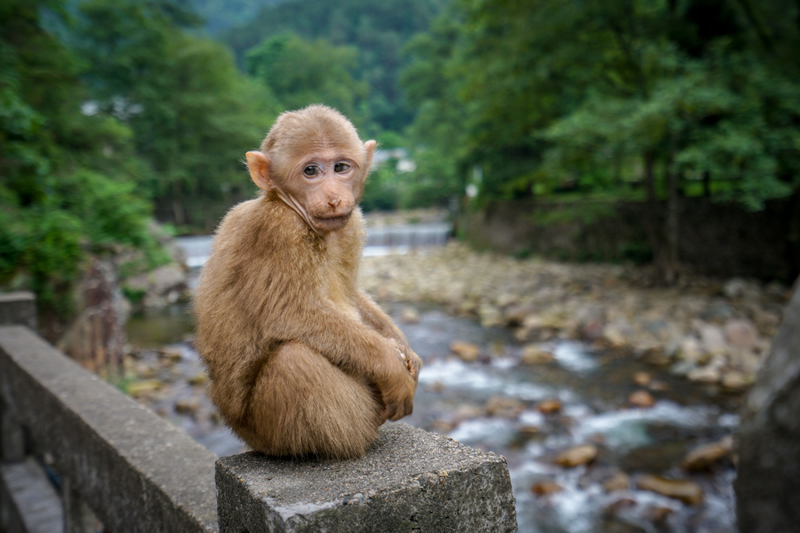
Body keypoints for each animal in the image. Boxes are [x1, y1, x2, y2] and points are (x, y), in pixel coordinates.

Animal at [193, 105, 422, 462]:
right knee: (294, 360)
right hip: (268, 433)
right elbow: (289, 313)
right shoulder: (277, 231)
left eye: (341, 167)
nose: (333, 196)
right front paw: (391, 366)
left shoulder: (351, 225)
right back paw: (364, 432)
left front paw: (403, 347)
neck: (293, 210)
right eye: (311, 171)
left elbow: (352, 293)